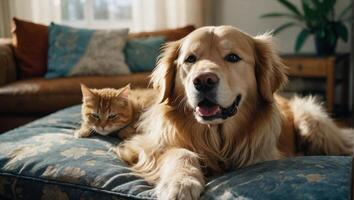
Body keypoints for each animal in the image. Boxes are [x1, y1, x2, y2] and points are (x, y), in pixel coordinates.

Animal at [117, 25, 352, 199]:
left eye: (232, 57)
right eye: (190, 59)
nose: (203, 81)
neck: (216, 136)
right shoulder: (144, 144)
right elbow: (181, 152)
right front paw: (181, 182)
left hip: (311, 119)